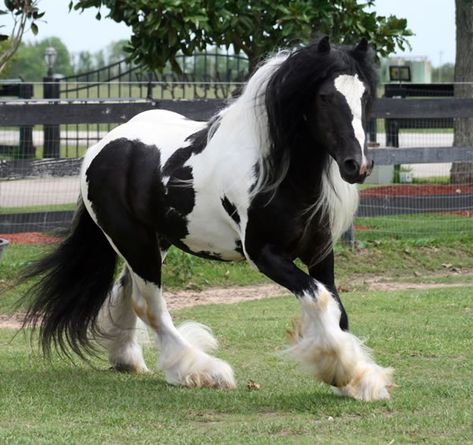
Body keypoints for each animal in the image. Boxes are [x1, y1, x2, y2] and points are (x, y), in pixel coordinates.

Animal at [21, 37, 390, 398]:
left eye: (365, 96)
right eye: (325, 96)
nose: (357, 165)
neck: (278, 175)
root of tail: (101, 147)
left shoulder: (319, 251)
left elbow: (336, 307)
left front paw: (361, 378)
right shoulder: (265, 255)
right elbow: (320, 298)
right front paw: (344, 371)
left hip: (155, 241)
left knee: (126, 292)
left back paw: (127, 358)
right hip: (133, 241)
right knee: (149, 305)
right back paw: (200, 370)